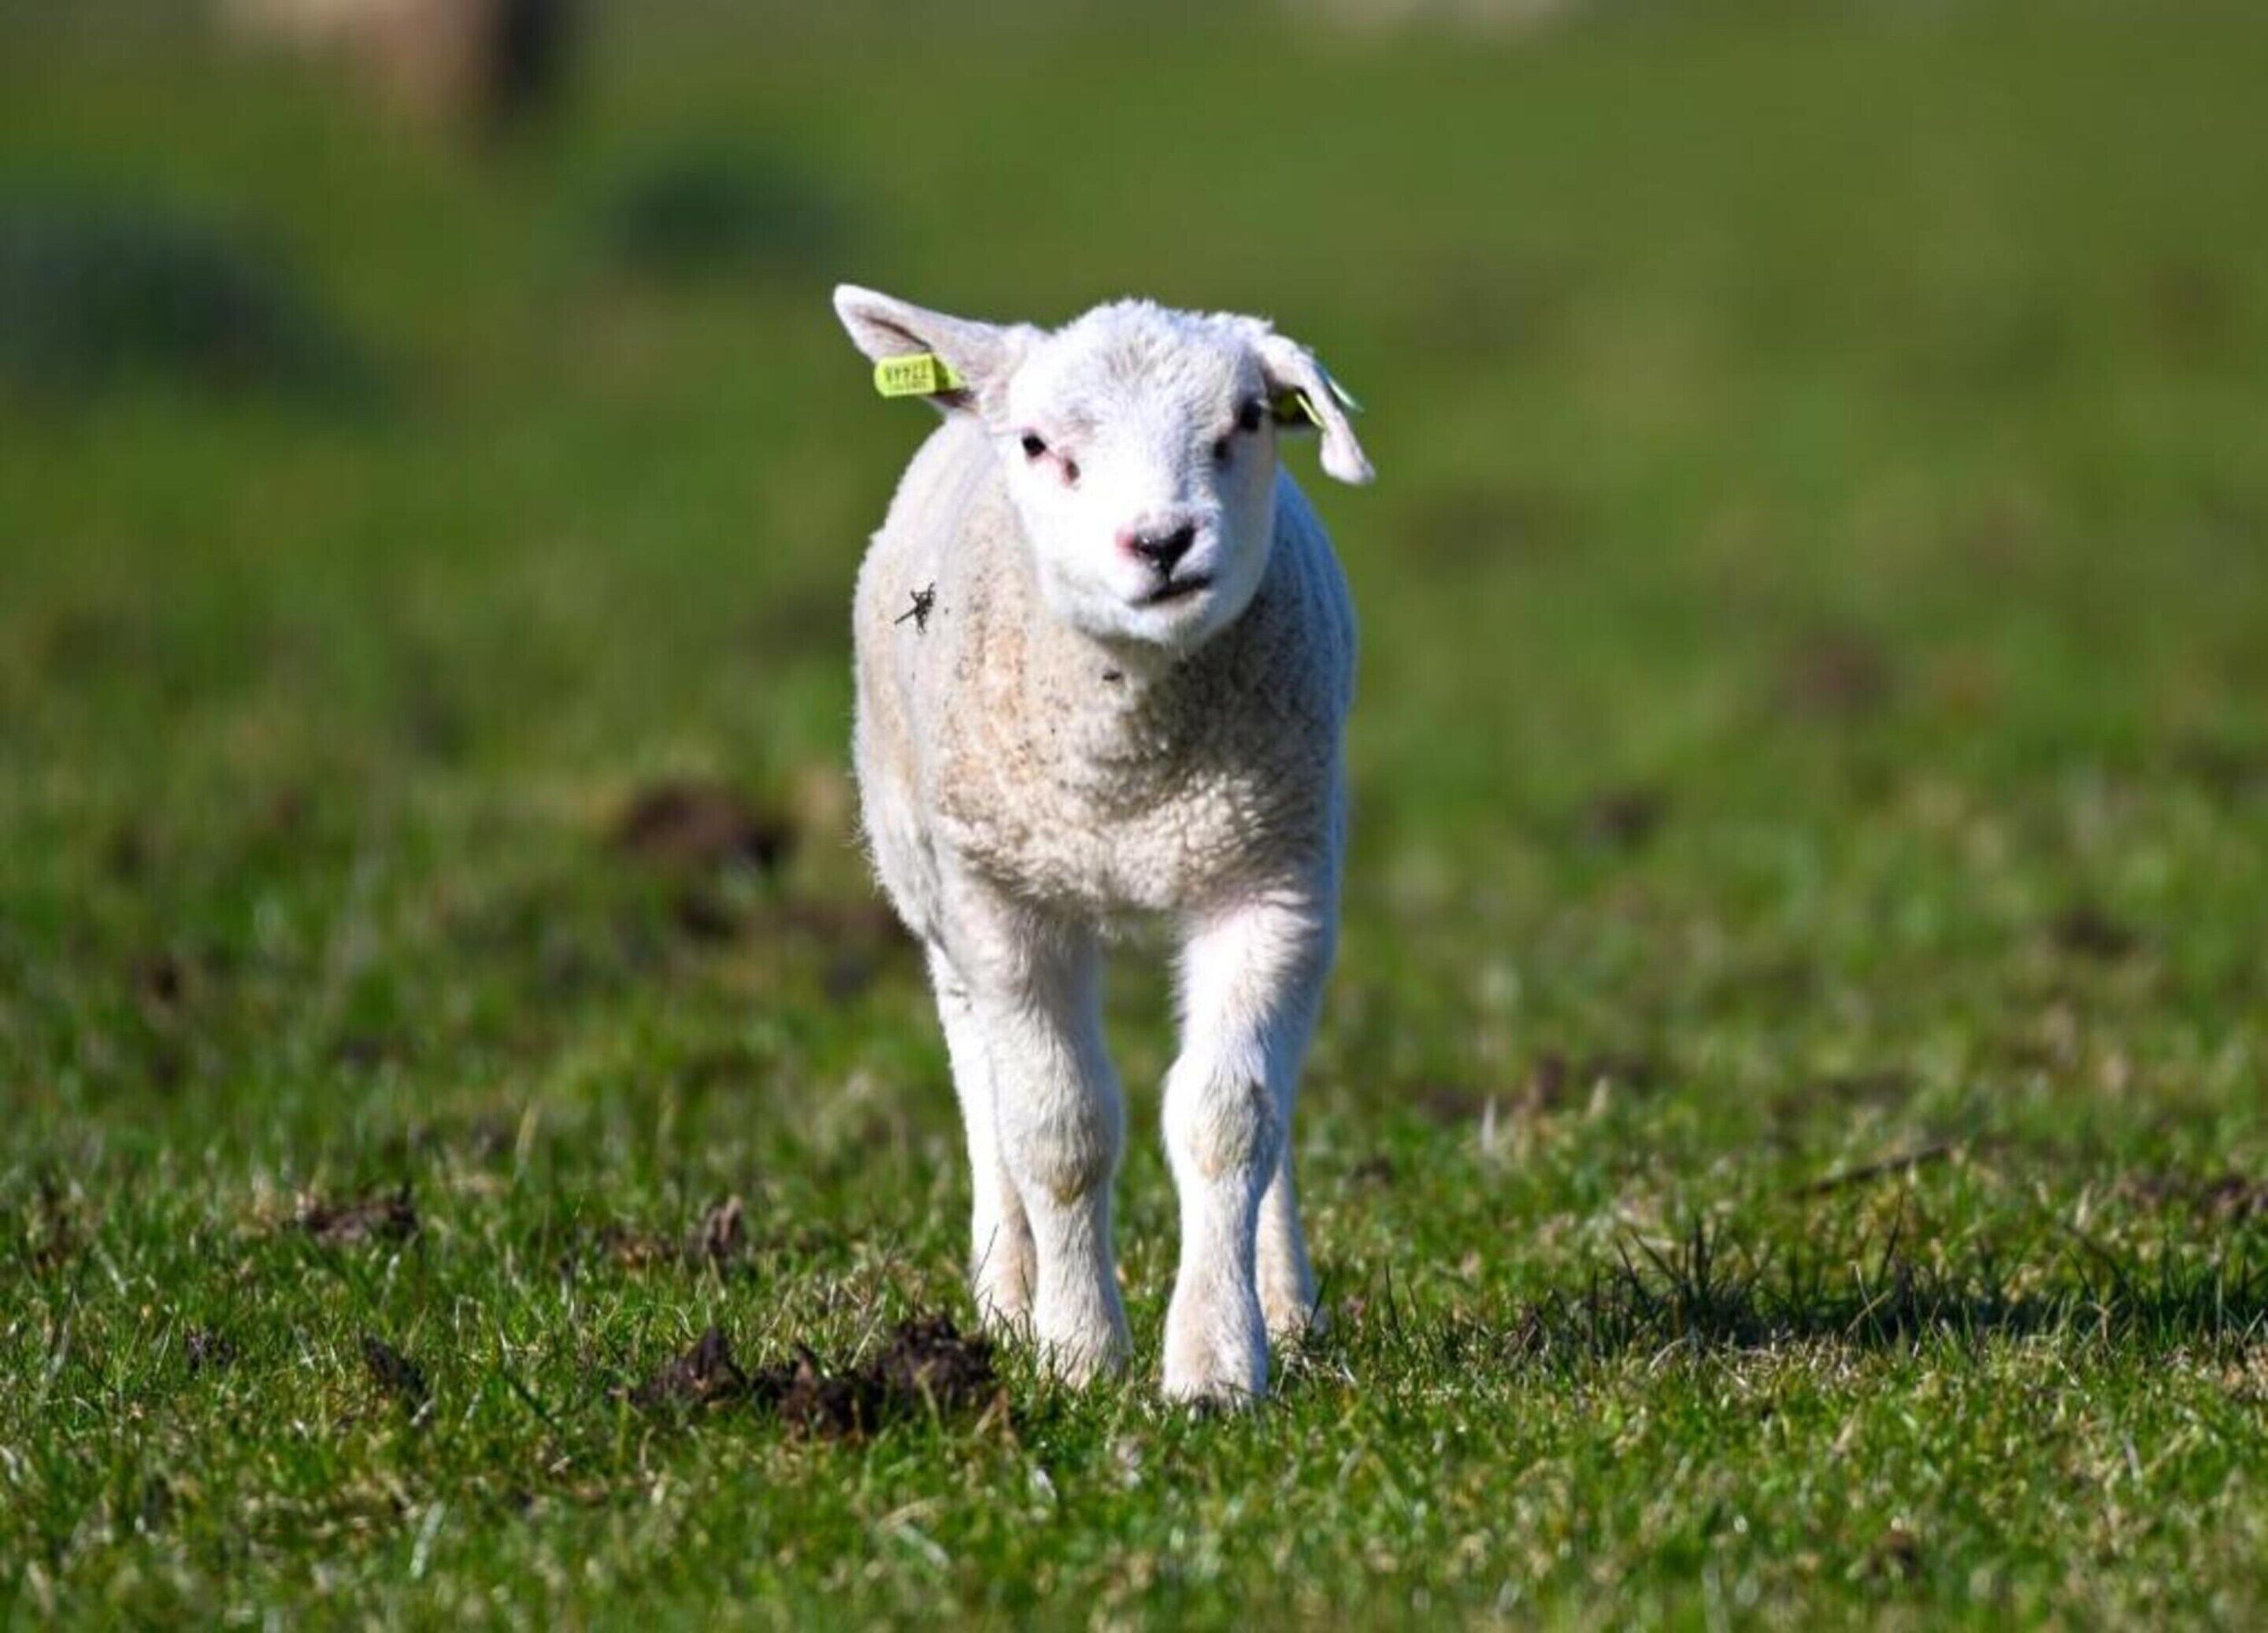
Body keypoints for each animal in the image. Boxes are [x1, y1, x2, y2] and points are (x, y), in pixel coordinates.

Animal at [832, 285, 1373, 1404]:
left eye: (1248, 420)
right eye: (1040, 445)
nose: (1162, 541)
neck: (1132, 777)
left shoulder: (1271, 883)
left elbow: (1229, 1120)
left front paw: (1216, 1362)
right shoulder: (1005, 900)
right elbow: (1060, 1129)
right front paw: (1078, 1352)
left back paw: (1287, 1304)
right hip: (934, 879)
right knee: (980, 1078)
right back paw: (1007, 1291)